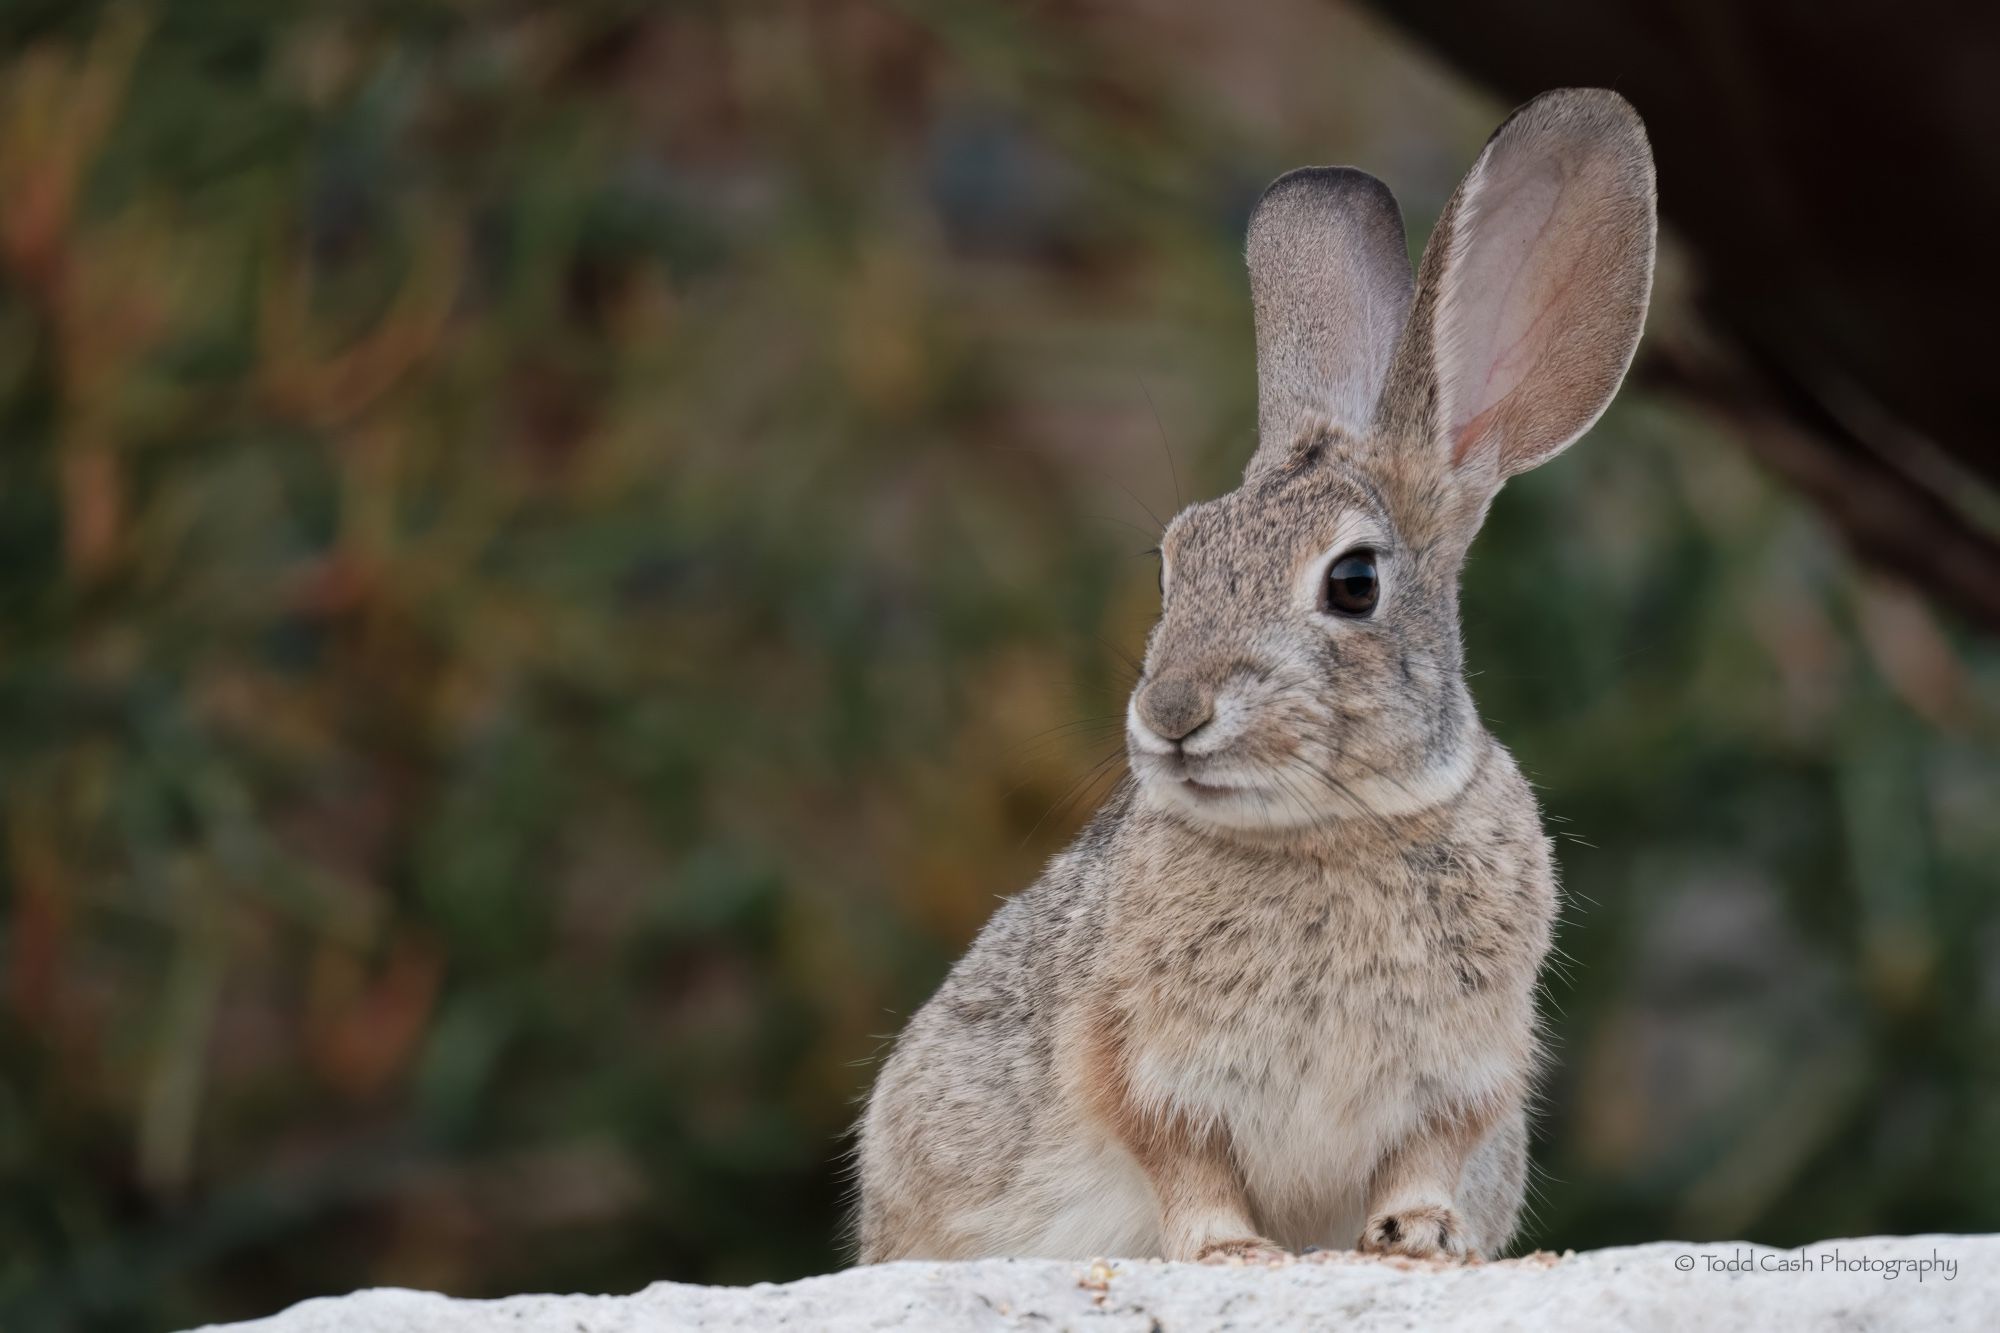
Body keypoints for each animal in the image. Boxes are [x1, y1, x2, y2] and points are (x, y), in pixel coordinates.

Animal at [856, 88, 1656, 1264]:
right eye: (1171, 564)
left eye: (1354, 582)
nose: (1171, 713)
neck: (1331, 827)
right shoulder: (1141, 1059)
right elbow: (1185, 1159)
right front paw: (1228, 1250)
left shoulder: (1464, 1072)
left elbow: (1421, 1157)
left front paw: (1419, 1236)